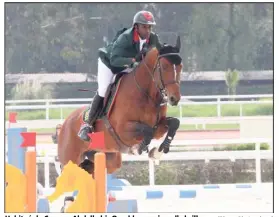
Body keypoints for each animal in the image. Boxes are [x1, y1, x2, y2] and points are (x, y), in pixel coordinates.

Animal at [57, 36, 184, 176]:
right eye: (165, 66)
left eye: (180, 66)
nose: (174, 98)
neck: (146, 94)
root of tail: (64, 124)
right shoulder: (123, 129)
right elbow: (147, 130)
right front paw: (139, 148)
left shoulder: (159, 127)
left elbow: (174, 123)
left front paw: (159, 151)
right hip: (70, 159)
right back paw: (85, 130)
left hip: (108, 158)